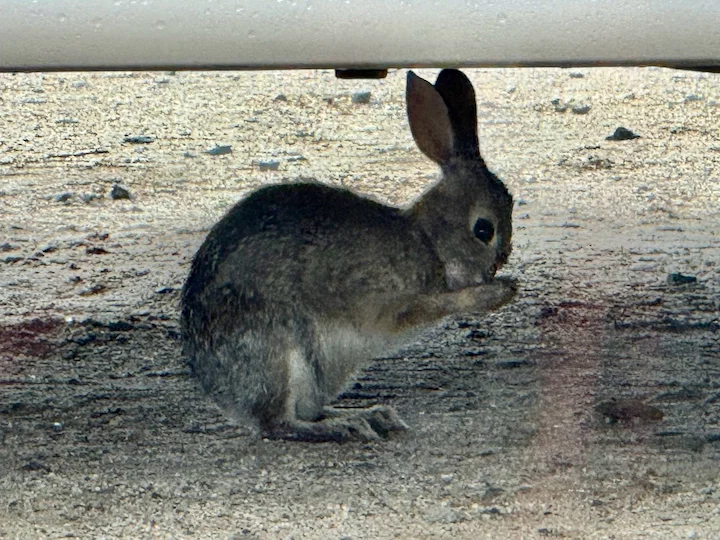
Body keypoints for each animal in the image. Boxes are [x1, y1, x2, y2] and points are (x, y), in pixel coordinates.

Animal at [181, 69, 517, 442]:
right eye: (484, 230)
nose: (492, 270)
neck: (428, 240)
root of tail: (219, 390)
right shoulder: (391, 303)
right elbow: (435, 306)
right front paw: (497, 292)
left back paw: (370, 415)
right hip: (282, 353)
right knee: (279, 422)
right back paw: (346, 426)